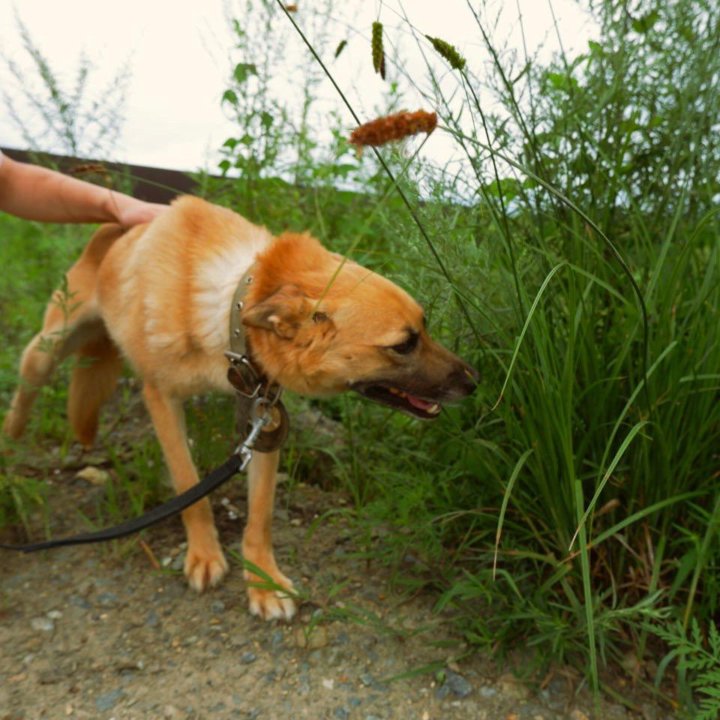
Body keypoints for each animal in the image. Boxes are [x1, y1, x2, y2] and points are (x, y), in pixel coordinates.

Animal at [5, 195, 478, 620]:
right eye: (403, 345)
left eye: (424, 328)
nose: (474, 383)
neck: (230, 305)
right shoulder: (161, 400)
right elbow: (189, 485)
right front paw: (204, 554)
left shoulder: (262, 419)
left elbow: (260, 514)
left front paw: (263, 581)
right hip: (46, 351)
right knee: (25, 389)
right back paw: (11, 446)